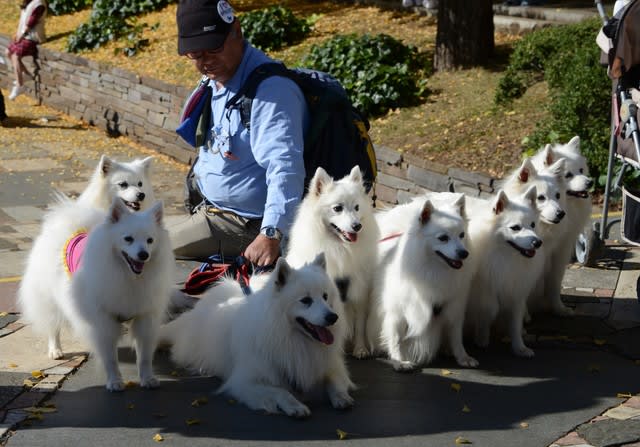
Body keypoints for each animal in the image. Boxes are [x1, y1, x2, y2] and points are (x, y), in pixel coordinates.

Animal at [18, 200, 174, 392]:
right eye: (128, 239)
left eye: (150, 240)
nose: (143, 254)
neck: (128, 276)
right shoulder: (104, 320)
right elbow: (110, 358)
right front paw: (114, 381)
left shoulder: (144, 317)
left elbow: (144, 356)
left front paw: (148, 378)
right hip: (50, 301)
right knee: (53, 326)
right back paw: (55, 350)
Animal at [158, 256, 352, 420]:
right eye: (306, 300)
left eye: (325, 297)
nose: (333, 317)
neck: (291, 338)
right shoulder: (245, 382)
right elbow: (280, 391)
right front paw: (294, 405)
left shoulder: (326, 364)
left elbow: (334, 379)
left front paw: (341, 396)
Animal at [282, 166, 378, 358]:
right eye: (337, 208)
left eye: (357, 207)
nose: (357, 226)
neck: (340, 248)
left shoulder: (359, 291)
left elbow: (360, 324)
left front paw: (360, 349)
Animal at [370, 194, 476, 372]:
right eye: (443, 238)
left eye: (462, 235)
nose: (464, 253)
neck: (434, 270)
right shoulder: (397, 313)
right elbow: (396, 338)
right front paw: (399, 361)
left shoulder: (454, 307)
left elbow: (456, 336)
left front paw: (463, 357)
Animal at [462, 187, 544, 358]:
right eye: (515, 227)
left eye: (533, 225)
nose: (538, 242)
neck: (506, 256)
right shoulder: (485, 289)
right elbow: (489, 309)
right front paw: (482, 338)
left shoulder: (516, 290)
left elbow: (515, 322)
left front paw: (520, 348)